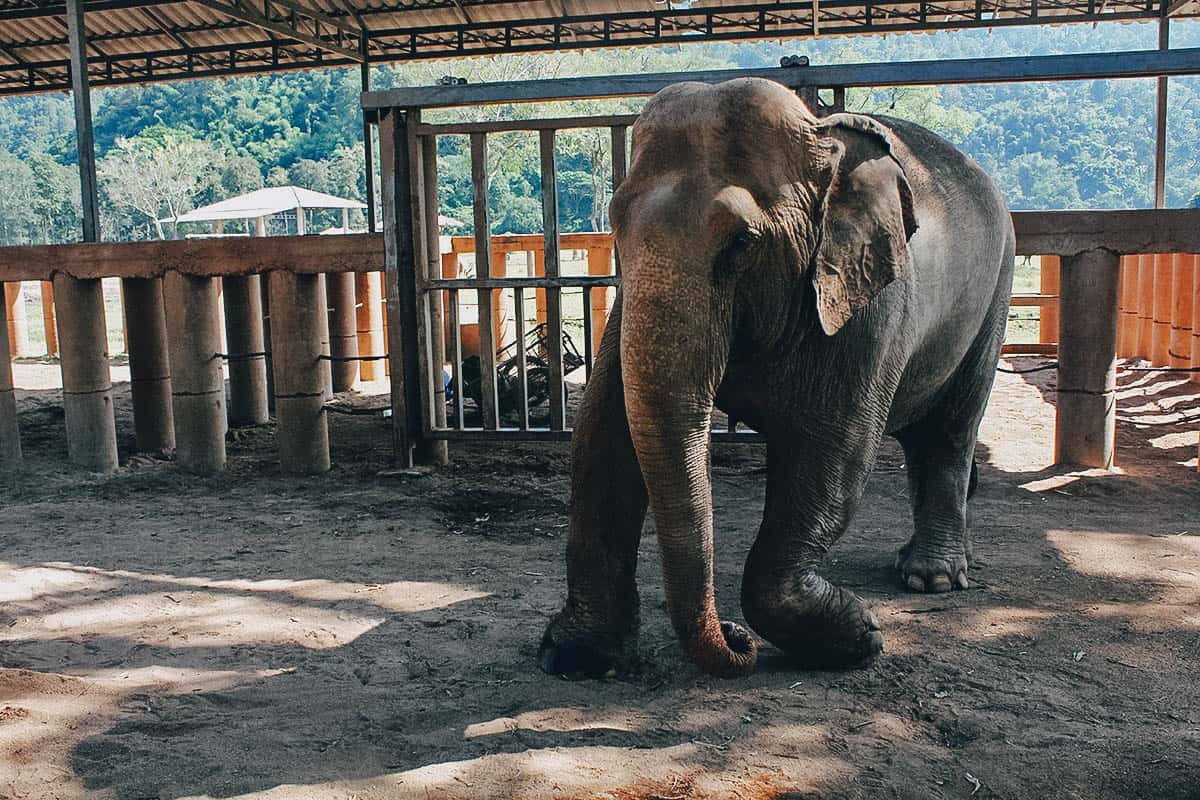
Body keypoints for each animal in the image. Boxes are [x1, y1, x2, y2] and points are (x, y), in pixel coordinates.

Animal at [540, 74, 1017, 681]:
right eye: (616, 228)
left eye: (741, 242)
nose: (734, 636)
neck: (821, 133)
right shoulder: (629, 309)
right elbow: (603, 435)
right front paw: (575, 657)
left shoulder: (868, 303)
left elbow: (832, 455)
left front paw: (859, 637)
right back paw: (920, 563)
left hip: (996, 290)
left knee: (951, 430)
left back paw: (930, 578)